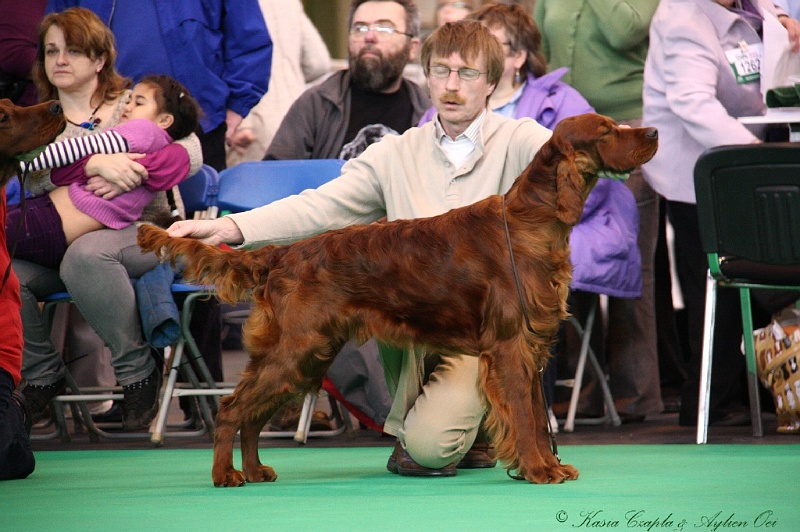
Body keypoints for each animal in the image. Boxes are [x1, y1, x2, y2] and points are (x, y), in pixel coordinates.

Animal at [141, 113, 660, 486]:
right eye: (607, 130)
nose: (654, 131)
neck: (531, 221)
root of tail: (281, 253)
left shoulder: (530, 348)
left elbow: (533, 414)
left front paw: (546, 467)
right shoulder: (511, 347)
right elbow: (526, 418)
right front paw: (538, 471)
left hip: (305, 356)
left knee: (253, 415)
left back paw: (253, 470)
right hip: (295, 350)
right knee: (233, 409)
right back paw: (226, 475)